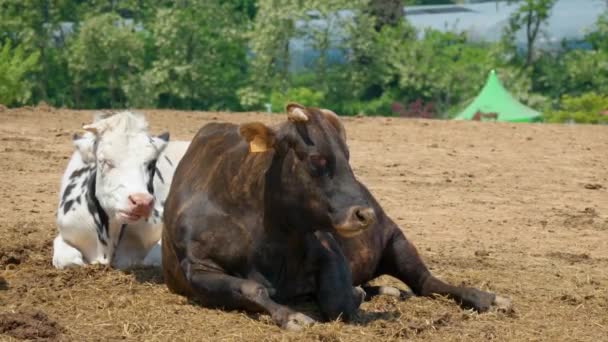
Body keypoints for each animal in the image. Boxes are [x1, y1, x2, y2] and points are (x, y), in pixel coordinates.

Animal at [162, 103, 508, 330]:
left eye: (347, 156)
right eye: (317, 158)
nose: (365, 213)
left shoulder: (329, 250)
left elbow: (336, 300)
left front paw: (350, 296)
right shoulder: (199, 268)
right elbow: (251, 289)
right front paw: (291, 316)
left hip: (396, 240)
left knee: (426, 281)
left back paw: (484, 297)